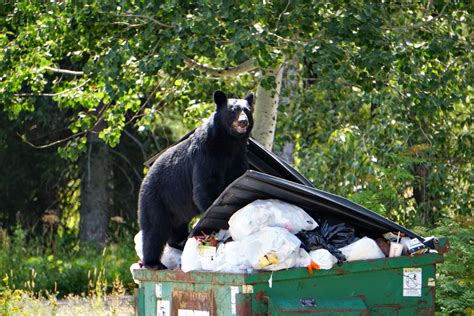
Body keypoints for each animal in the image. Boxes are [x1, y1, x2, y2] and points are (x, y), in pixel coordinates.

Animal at [138, 90, 254, 268]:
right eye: (233, 110)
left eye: (247, 110)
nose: (243, 121)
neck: (228, 142)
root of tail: (145, 177)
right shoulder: (206, 155)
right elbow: (205, 187)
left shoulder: (238, 156)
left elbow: (236, 178)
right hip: (156, 198)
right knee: (155, 228)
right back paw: (153, 262)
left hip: (175, 208)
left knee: (175, 227)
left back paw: (180, 242)